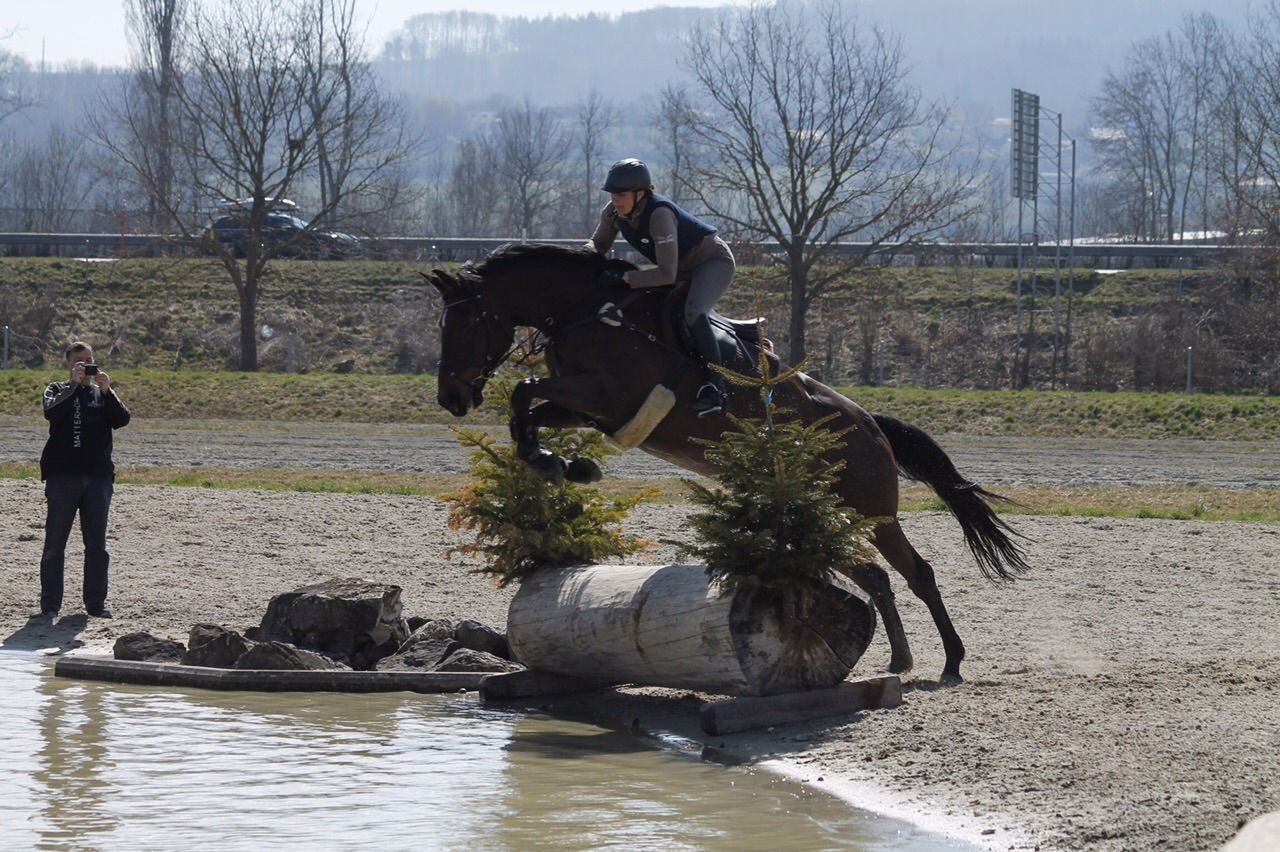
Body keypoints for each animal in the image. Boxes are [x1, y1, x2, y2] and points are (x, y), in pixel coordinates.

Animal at [426, 242, 1028, 683]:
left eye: (464, 326)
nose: (451, 398)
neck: (584, 311)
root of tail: (873, 425)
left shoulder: (605, 394)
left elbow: (523, 391)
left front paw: (559, 464)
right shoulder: (588, 407)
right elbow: (525, 409)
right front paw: (563, 466)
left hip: (872, 510)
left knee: (917, 572)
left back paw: (951, 661)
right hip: (826, 512)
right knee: (877, 576)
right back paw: (900, 659)